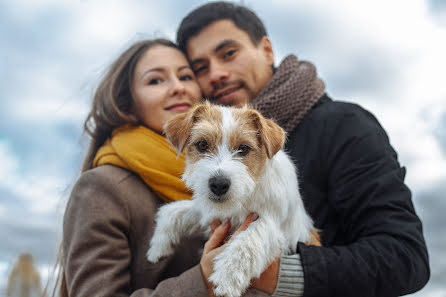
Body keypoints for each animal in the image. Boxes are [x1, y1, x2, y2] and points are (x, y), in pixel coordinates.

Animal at [148, 102, 318, 296]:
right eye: (202, 144)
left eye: (243, 148)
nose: (219, 184)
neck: (245, 197)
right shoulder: (210, 212)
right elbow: (172, 212)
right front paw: (158, 246)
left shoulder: (273, 226)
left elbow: (248, 239)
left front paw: (227, 278)